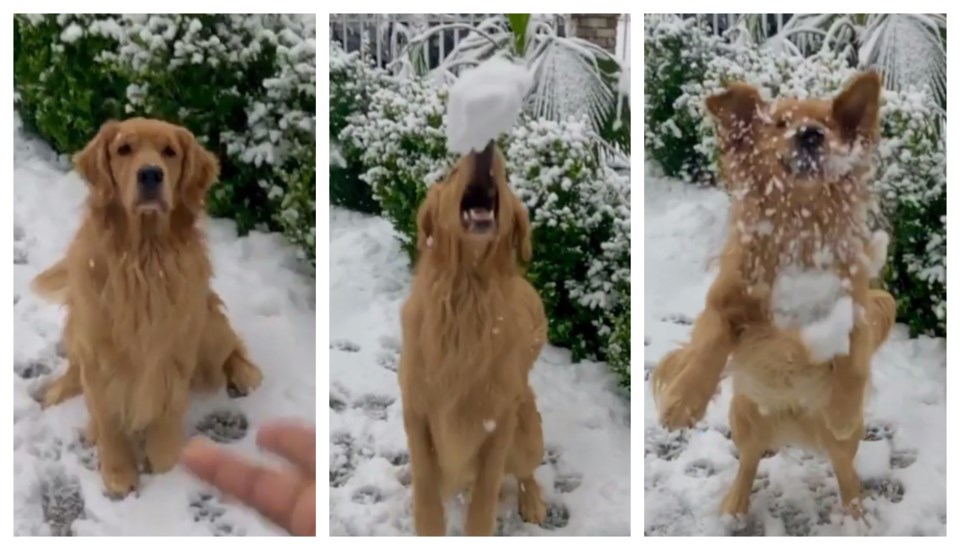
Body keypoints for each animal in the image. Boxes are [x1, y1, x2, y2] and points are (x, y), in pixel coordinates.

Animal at [31, 118, 262, 498]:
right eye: (124, 149)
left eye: (169, 151)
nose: (151, 174)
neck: (144, 256)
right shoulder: (97, 349)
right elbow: (106, 414)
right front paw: (118, 471)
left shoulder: (176, 347)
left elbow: (168, 408)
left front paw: (164, 460)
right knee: (73, 371)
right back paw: (54, 391)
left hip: (208, 322)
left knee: (232, 349)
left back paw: (245, 373)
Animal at [398, 140, 548, 536]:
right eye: (451, 171)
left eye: (507, 176)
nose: (485, 148)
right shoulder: (416, 412)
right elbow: (427, 495)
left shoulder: (499, 422)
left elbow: (484, 501)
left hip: (527, 433)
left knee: (526, 473)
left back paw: (533, 500)